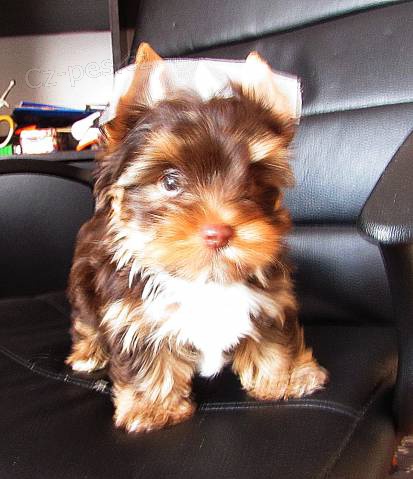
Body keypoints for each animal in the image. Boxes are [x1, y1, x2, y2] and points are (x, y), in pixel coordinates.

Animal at [66, 43, 327, 433]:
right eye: (170, 181)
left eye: (253, 179)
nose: (218, 232)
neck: (203, 279)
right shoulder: (133, 314)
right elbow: (146, 355)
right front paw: (153, 408)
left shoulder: (270, 299)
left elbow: (272, 337)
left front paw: (284, 377)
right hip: (83, 287)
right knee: (85, 321)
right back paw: (87, 353)